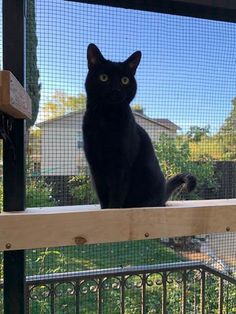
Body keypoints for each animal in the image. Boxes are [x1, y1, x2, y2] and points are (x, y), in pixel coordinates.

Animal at [82, 42, 196, 209]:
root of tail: (163, 193)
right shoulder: (95, 165)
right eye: (103, 77)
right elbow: (102, 193)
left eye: (124, 80)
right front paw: (105, 210)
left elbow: (116, 193)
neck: (106, 120)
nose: (115, 90)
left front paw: (113, 209)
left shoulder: (122, 165)